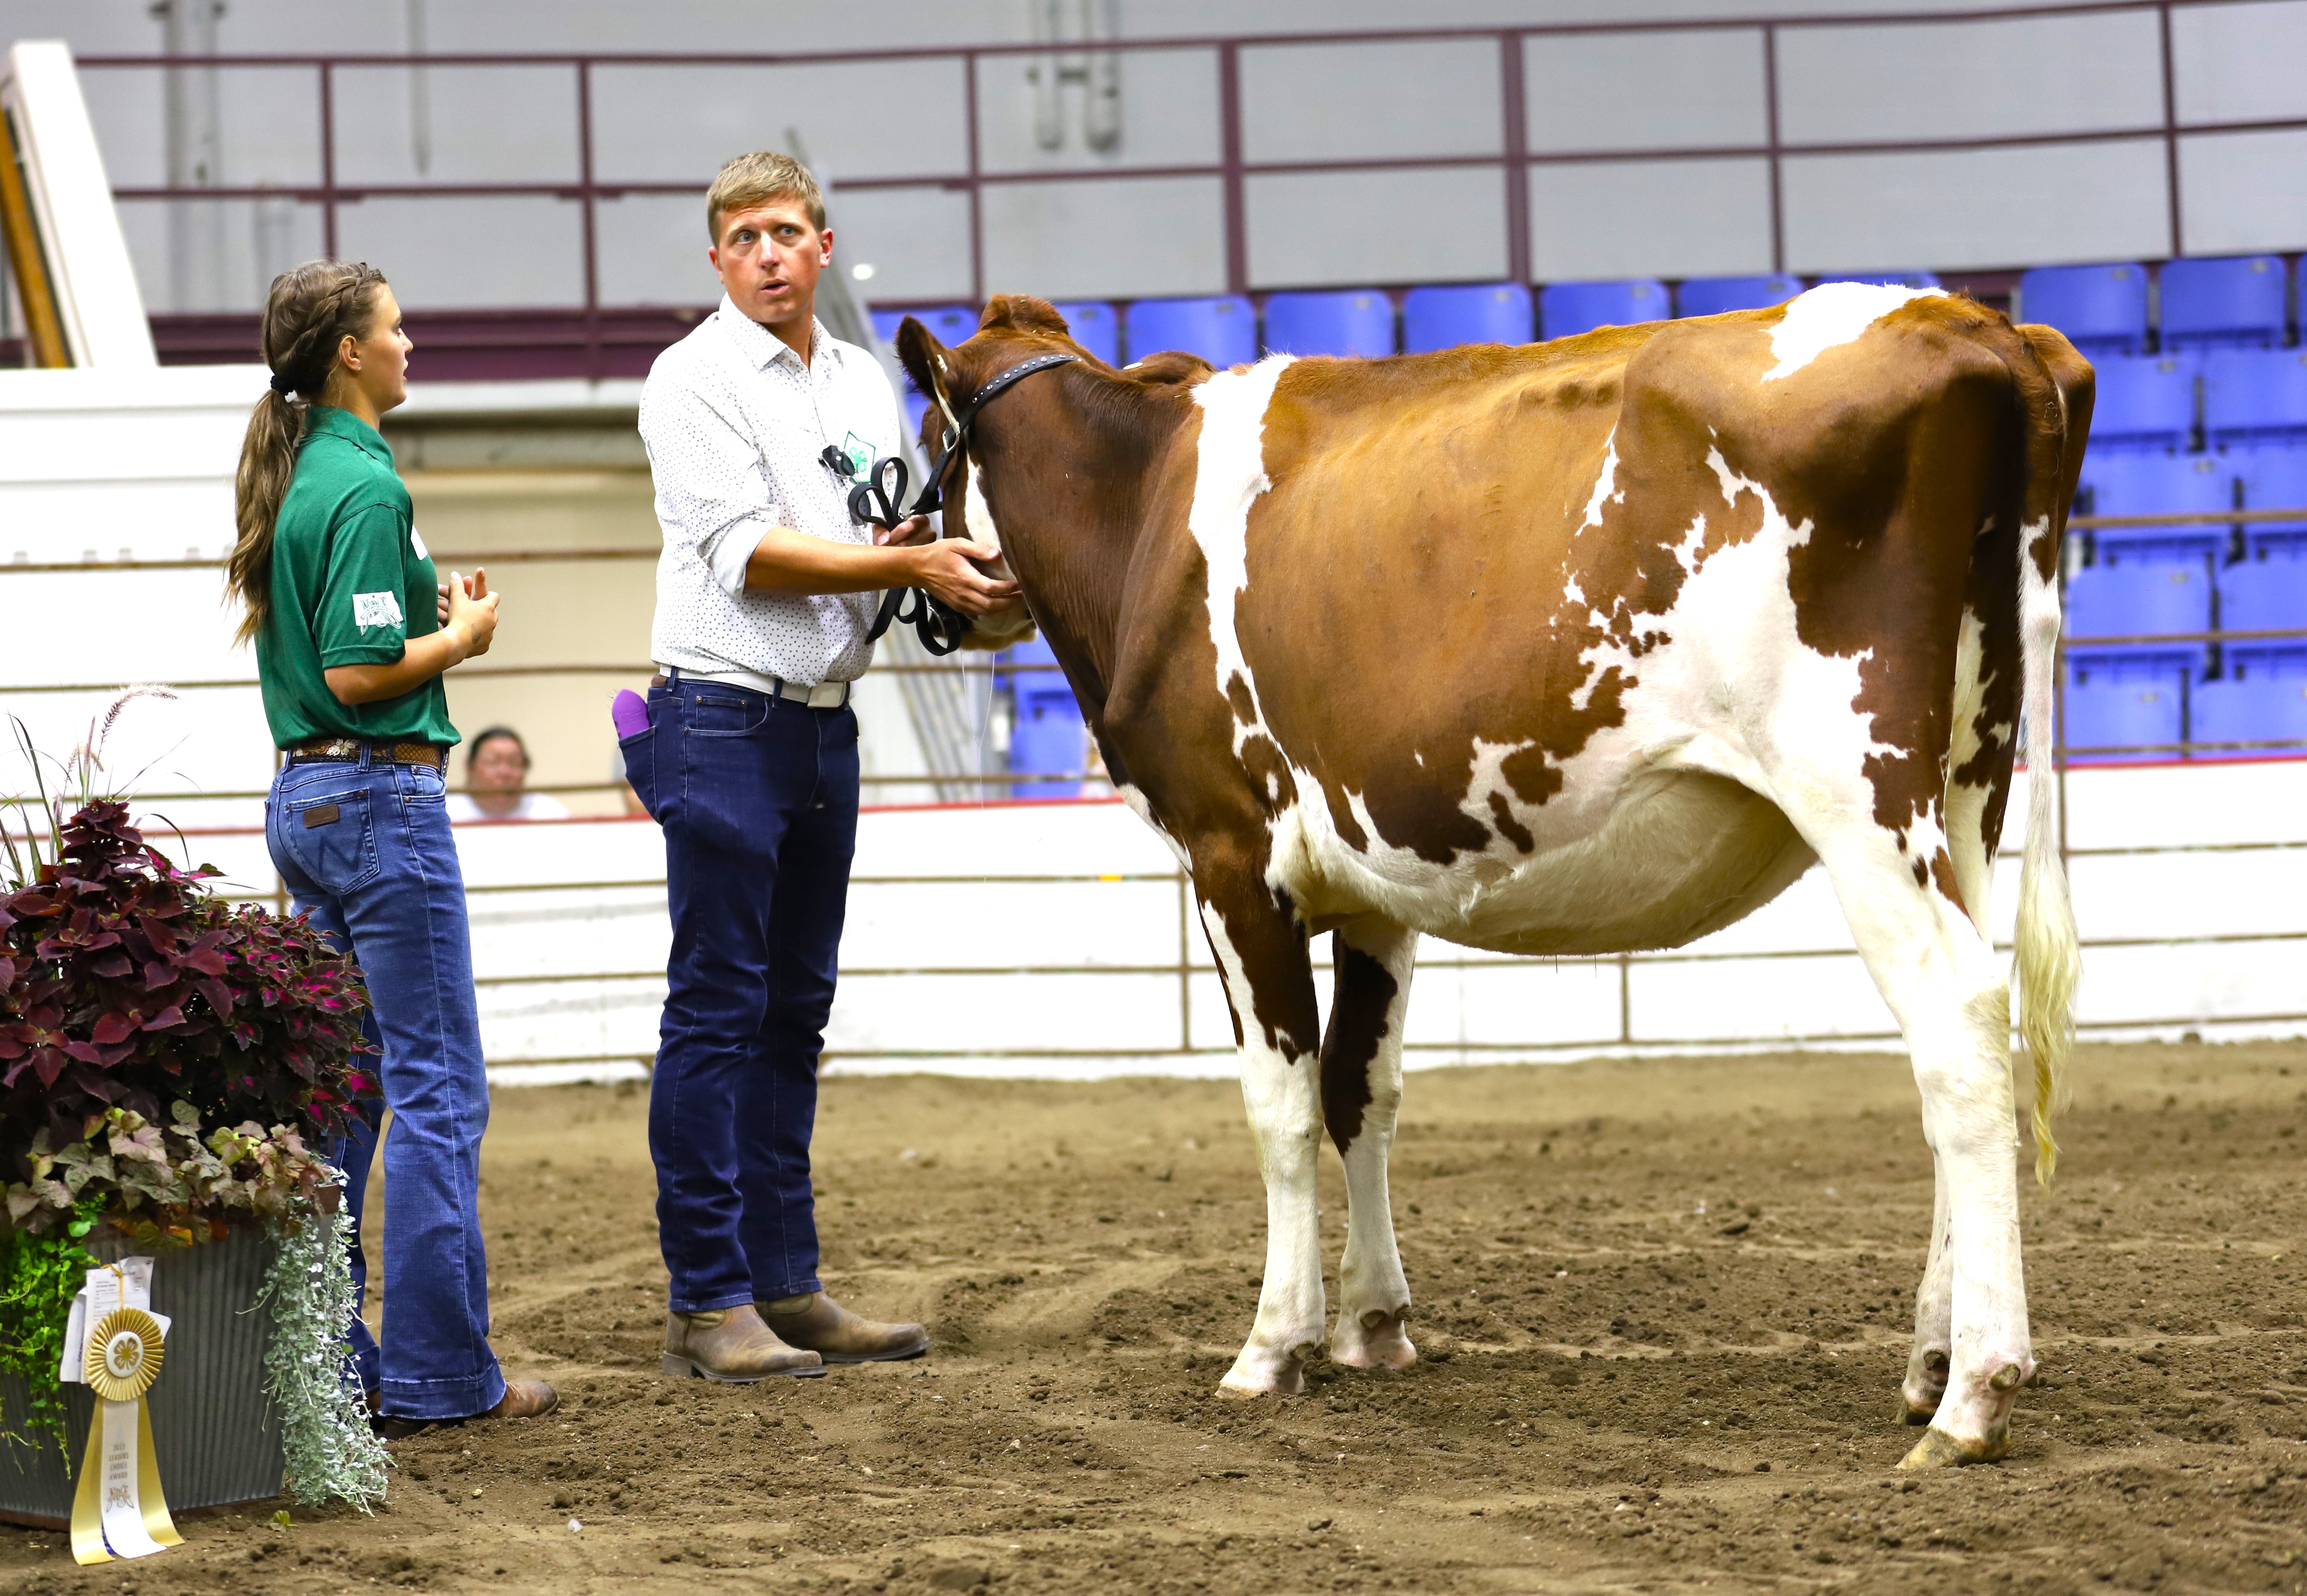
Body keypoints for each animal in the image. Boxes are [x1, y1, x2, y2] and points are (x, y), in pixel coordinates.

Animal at [895, 287, 2095, 1467]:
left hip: (1855, 792)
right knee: (1960, 1041)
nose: (931, 595)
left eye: (922, 442)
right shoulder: (1374, 885)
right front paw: (1373, 1324)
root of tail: (1972, 323)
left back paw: (1972, 1393)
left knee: (1955, 1028)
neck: (1141, 509)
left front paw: (1271, 1347)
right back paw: (1930, 1359)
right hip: (1965, 789)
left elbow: (1277, 1105)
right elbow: (1359, 1088)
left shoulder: (1231, 855)